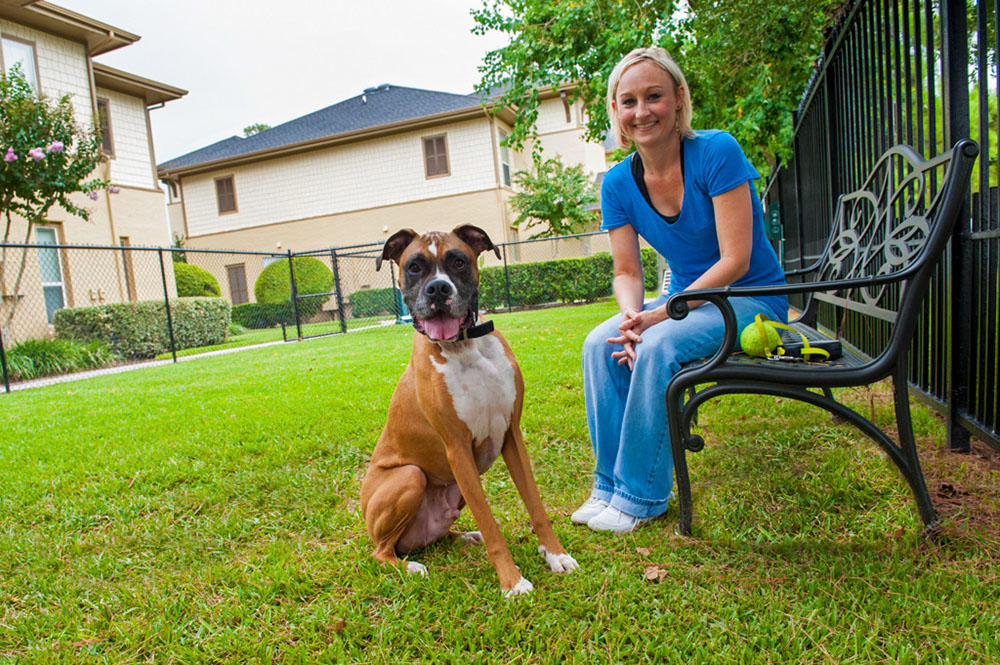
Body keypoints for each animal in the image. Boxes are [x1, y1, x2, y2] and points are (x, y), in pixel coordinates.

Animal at [362, 226, 580, 592]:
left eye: (459, 262)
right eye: (414, 267)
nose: (438, 289)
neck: (464, 346)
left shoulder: (511, 436)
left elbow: (535, 506)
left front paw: (555, 555)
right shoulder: (458, 450)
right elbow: (492, 525)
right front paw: (512, 582)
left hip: (454, 492)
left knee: (434, 536)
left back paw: (463, 536)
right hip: (410, 476)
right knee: (381, 551)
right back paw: (410, 567)